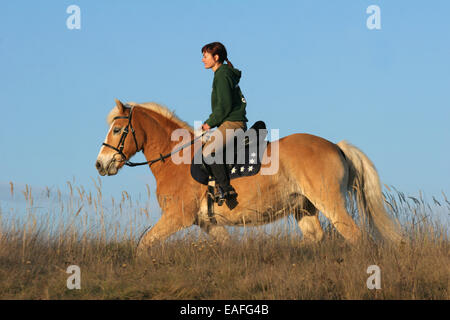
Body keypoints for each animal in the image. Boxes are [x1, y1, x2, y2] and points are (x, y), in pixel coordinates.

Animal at [96, 99, 404, 256]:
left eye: (117, 130)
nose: (100, 164)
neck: (175, 159)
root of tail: (336, 146)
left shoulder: (176, 217)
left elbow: (143, 245)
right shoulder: (207, 223)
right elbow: (226, 246)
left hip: (330, 202)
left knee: (356, 237)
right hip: (303, 207)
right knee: (314, 238)